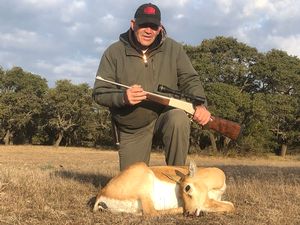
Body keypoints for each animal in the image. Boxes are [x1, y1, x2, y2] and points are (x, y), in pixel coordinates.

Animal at [93, 161, 234, 215]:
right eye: (186, 188)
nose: (189, 212)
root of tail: (102, 194)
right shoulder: (208, 201)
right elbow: (231, 206)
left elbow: (230, 204)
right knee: (151, 213)